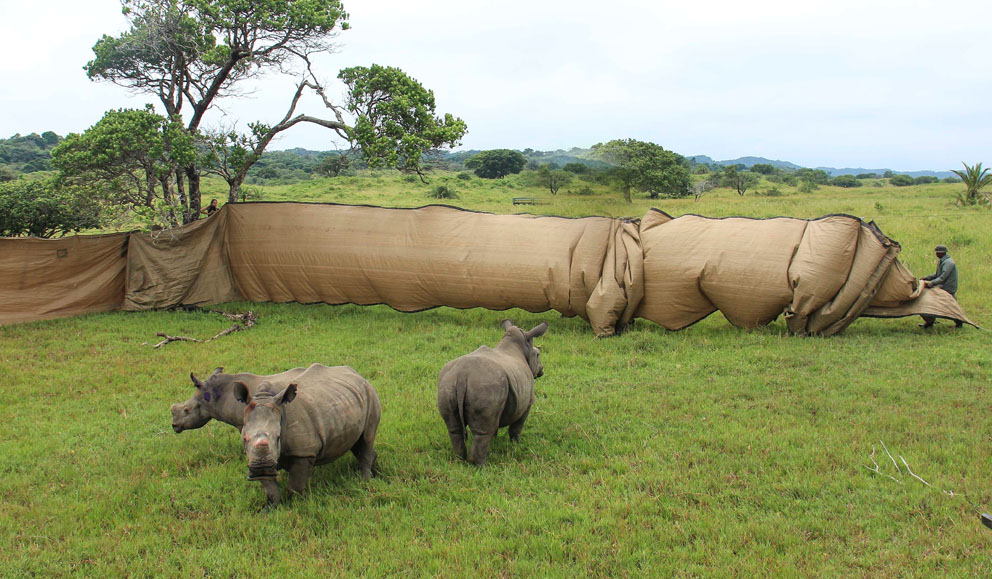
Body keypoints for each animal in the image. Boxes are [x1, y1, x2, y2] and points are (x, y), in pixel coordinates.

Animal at [233, 365, 381, 506]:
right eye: (245, 439)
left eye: (278, 437)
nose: (261, 468)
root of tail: (357, 374)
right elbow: (270, 489)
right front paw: (270, 509)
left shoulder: (304, 453)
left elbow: (295, 487)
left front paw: (294, 504)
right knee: (356, 443)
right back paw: (373, 471)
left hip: (370, 395)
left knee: (366, 439)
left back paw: (365, 481)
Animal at [437, 319, 548, 466]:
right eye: (538, 355)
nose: (542, 370)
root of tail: (462, 376)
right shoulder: (528, 401)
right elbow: (517, 427)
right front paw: (516, 445)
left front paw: (495, 440)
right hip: (486, 386)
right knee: (483, 431)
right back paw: (482, 466)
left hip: (447, 384)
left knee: (455, 429)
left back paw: (459, 460)